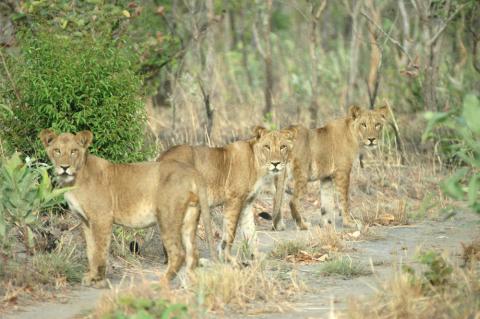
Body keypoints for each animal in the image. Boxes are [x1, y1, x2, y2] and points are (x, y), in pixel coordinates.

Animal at [39, 129, 216, 284]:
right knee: (193, 253)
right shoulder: (86, 221)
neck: (73, 181)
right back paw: (191, 285)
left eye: (74, 151)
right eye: (57, 150)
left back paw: (161, 283)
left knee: (179, 254)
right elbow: (90, 250)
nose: (64, 167)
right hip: (190, 217)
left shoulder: (102, 218)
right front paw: (91, 277)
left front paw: (98, 279)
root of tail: (192, 171)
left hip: (167, 217)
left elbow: (100, 250)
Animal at [158, 126, 296, 264]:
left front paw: (257, 257)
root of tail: (160, 158)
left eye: (283, 147)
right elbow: (230, 232)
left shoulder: (247, 203)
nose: (275, 163)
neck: (258, 165)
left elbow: (251, 232)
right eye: (267, 146)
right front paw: (227, 257)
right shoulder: (234, 199)